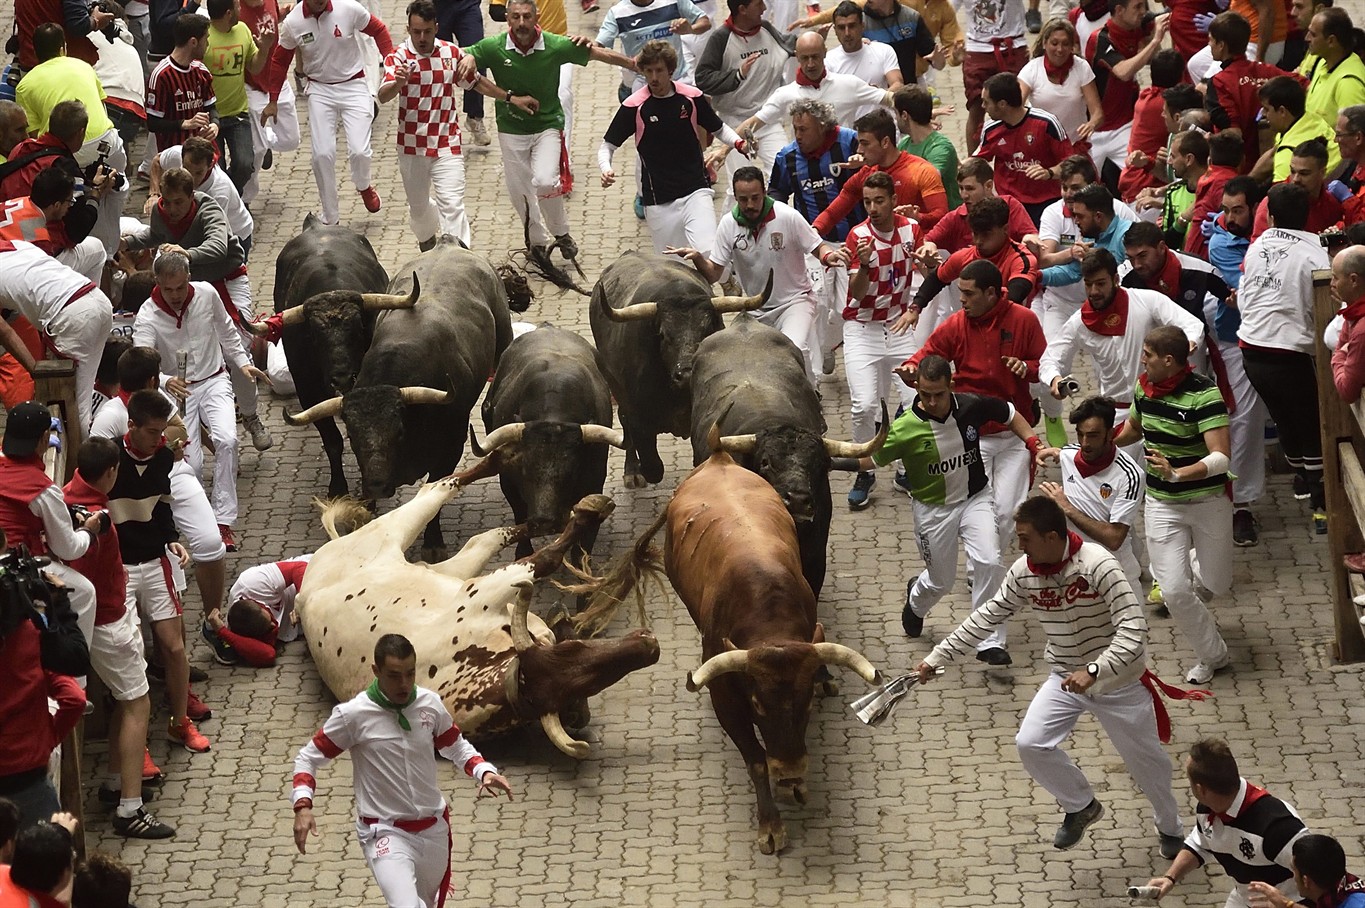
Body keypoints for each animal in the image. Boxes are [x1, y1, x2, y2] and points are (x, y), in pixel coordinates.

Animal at [578, 450, 879, 852]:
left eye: (807, 703)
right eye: (757, 704)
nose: (789, 770)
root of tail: (718, 457)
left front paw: (795, 785)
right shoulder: (727, 700)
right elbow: (756, 760)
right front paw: (771, 824)